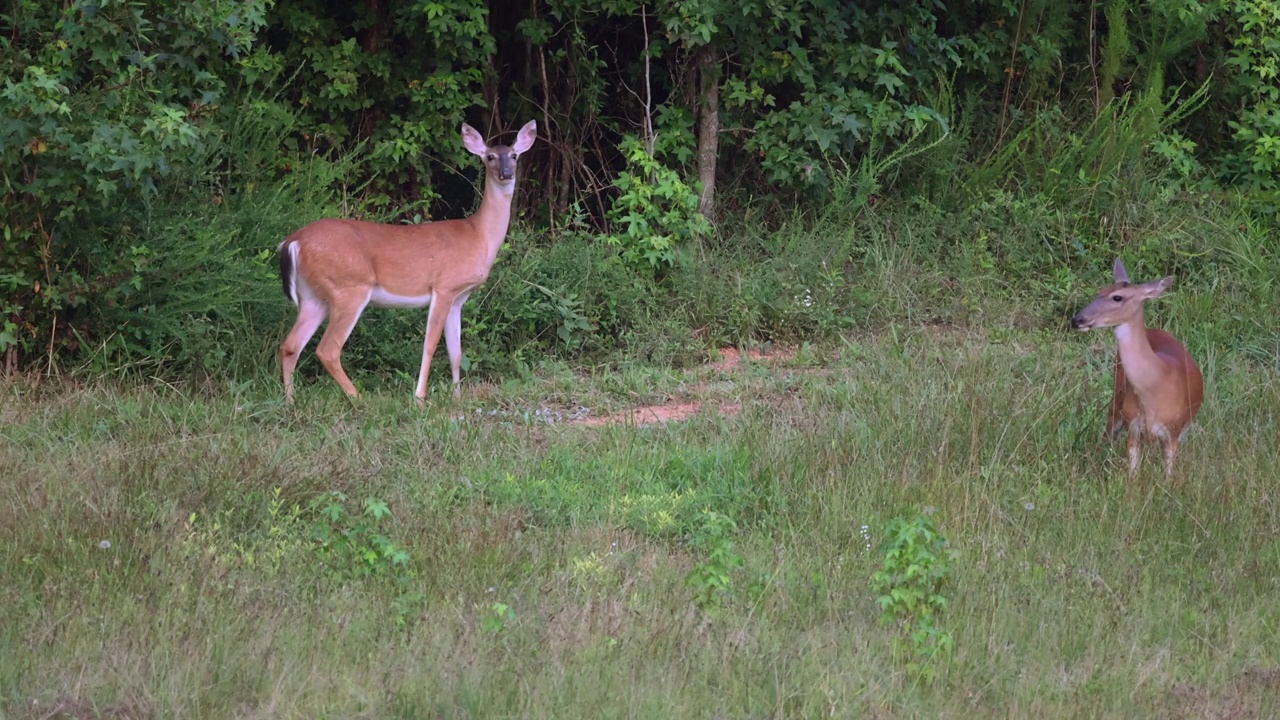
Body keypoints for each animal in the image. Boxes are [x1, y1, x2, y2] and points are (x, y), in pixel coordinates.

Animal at [277, 117, 537, 404]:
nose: (506, 173)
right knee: (327, 348)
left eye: (513, 155)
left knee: (290, 345)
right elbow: (430, 345)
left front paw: (457, 396)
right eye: (490, 157)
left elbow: (456, 351)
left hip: (314, 295)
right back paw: (359, 398)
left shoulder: (459, 298)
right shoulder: (444, 286)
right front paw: (420, 398)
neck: (478, 235)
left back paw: (291, 401)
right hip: (349, 287)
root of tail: (293, 242)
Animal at [1070, 256, 1198, 481]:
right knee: (1107, 435)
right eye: (1100, 291)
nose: (1077, 320)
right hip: (1117, 399)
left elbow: (1168, 477)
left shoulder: (1173, 432)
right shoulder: (1133, 425)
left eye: (1117, 297)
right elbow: (1132, 474)